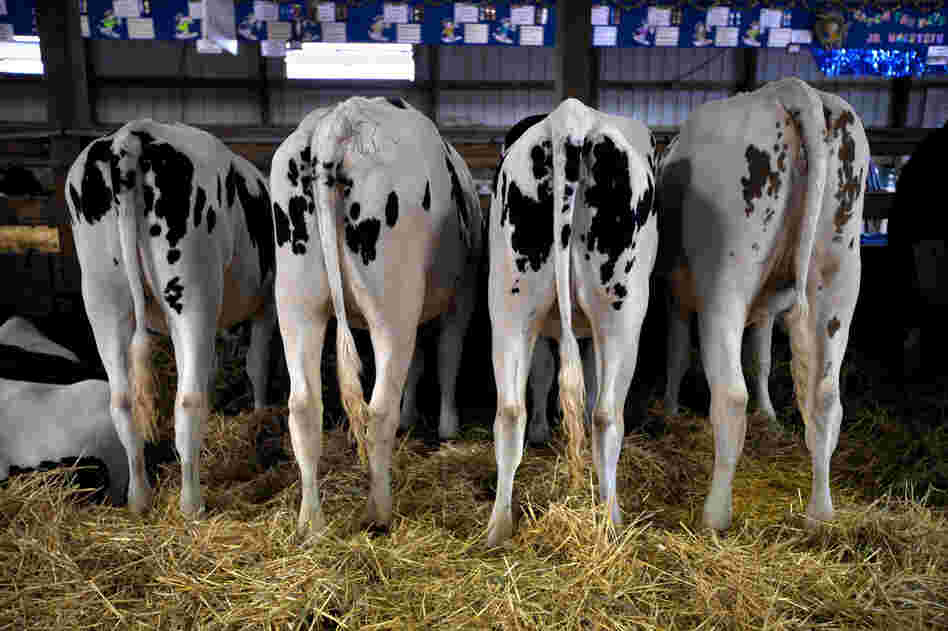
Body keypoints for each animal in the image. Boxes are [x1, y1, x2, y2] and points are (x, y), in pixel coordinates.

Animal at [66, 119, 278, 517]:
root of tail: (131, 136)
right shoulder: (267, 303)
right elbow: (257, 365)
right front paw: (260, 420)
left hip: (102, 295)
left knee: (122, 401)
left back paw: (139, 499)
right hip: (194, 290)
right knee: (188, 400)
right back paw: (191, 504)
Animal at [270, 96, 483, 536]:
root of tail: (341, 119)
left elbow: (420, 363)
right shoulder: (463, 295)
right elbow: (447, 356)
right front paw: (448, 427)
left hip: (296, 301)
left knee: (304, 407)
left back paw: (310, 523)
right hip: (392, 307)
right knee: (379, 409)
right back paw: (378, 512)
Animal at [487, 98, 658, 546]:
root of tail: (572, 118)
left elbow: (545, 374)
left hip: (511, 301)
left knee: (509, 410)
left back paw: (497, 528)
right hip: (623, 313)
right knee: (606, 415)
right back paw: (612, 521)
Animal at [657, 78, 869, 531]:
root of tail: (791, 89)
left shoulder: (676, 292)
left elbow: (678, 353)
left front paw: (669, 410)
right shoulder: (770, 306)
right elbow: (763, 359)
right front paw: (769, 414)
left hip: (725, 279)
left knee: (731, 395)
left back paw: (715, 514)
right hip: (839, 276)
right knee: (826, 396)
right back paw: (820, 513)